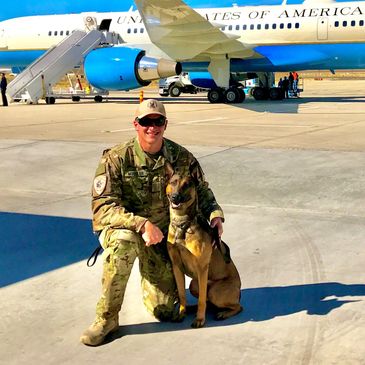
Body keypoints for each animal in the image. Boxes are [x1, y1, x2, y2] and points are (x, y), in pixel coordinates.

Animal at [166, 168, 242, 328]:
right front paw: (181, 313)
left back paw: (223, 313)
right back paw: (192, 309)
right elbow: (182, 294)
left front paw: (200, 319)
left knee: (236, 306)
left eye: (187, 185)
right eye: (173, 182)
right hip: (194, 284)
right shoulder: (176, 266)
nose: (175, 197)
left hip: (215, 290)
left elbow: (201, 299)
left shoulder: (202, 269)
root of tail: (239, 292)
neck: (182, 223)